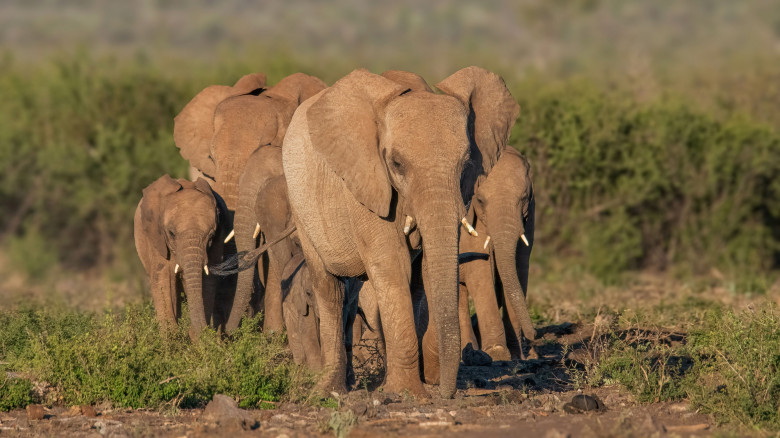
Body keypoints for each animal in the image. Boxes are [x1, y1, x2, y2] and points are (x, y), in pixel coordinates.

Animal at [134, 176, 229, 340]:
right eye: (171, 233)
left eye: (211, 236)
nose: (192, 332)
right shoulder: (156, 238)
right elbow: (163, 278)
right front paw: (172, 339)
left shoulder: (219, 236)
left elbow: (208, 281)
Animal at [280, 67, 516, 396]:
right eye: (397, 164)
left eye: (466, 163)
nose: (446, 393)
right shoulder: (368, 187)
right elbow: (394, 266)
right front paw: (406, 393)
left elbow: (428, 267)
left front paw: (426, 380)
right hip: (301, 208)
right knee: (330, 288)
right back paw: (330, 390)